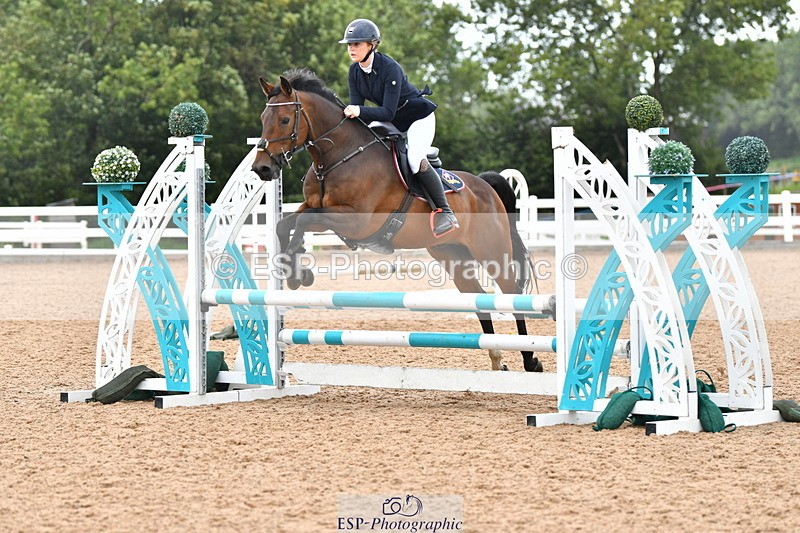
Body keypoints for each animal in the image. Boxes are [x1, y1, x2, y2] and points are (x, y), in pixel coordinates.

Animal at [251, 68, 542, 373]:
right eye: (263, 118)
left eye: (285, 119)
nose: (262, 168)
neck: (337, 156)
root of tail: (485, 186)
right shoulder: (319, 210)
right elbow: (286, 224)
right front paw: (294, 271)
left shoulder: (355, 220)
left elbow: (303, 222)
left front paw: (298, 268)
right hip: (452, 254)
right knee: (478, 297)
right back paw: (498, 361)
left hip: (491, 251)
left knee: (511, 293)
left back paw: (530, 359)